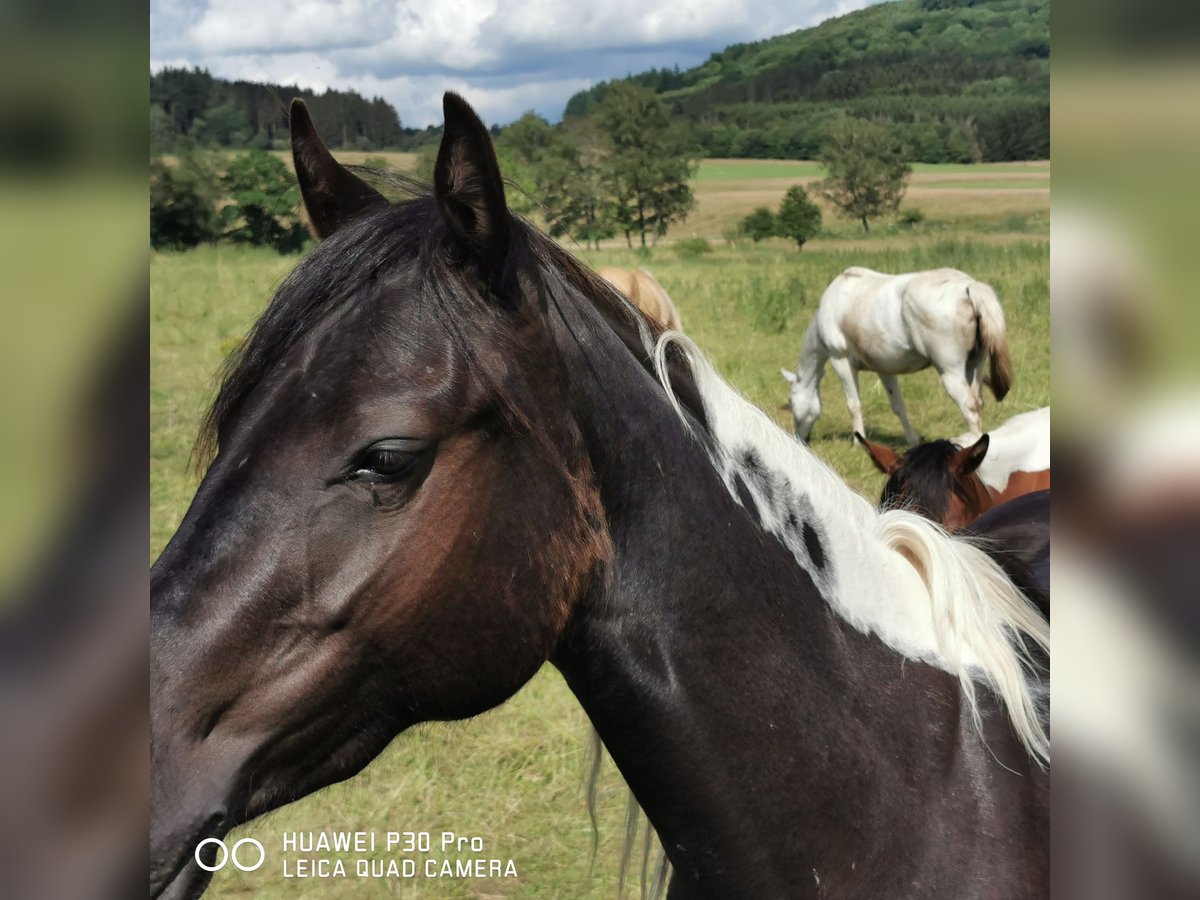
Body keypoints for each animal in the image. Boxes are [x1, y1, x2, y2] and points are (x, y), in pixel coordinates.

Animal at [777, 270, 1012, 448]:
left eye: (791, 402)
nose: (799, 439)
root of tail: (968, 287)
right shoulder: (885, 369)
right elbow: (898, 406)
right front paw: (913, 441)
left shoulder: (840, 361)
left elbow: (854, 405)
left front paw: (858, 442)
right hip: (974, 368)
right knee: (978, 403)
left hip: (950, 373)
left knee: (969, 409)